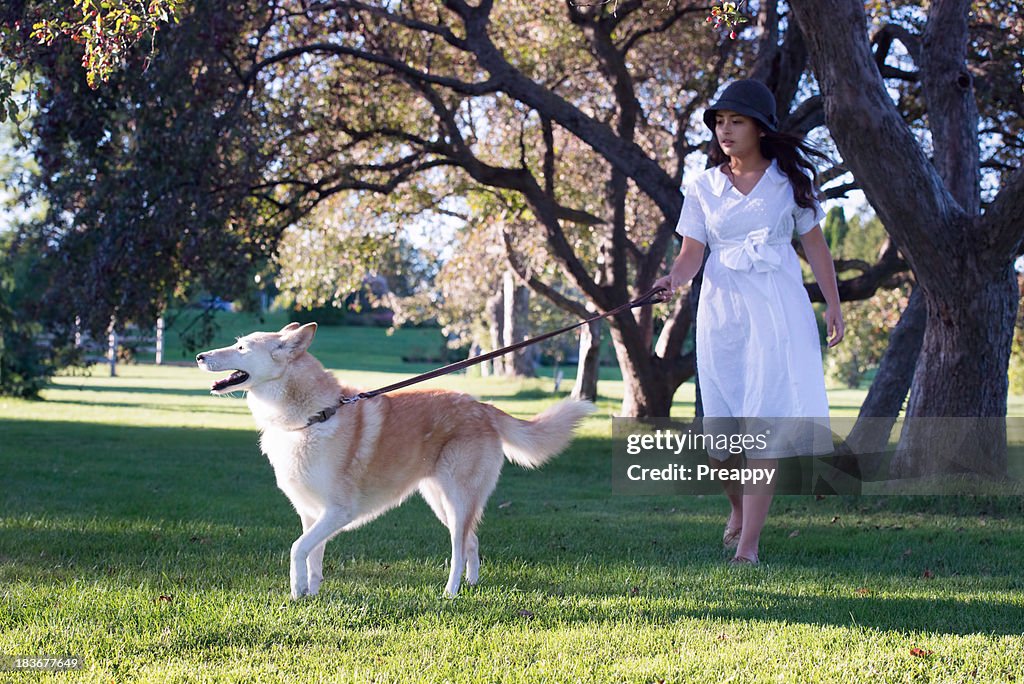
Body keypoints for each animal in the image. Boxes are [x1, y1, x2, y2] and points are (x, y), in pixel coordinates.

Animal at [196, 323, 598, 593]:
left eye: (241, 347)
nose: (200, 356)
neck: (313, 417)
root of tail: (482, 407)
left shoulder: (338, 511)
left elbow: (298, 548)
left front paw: (297, 592)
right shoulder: (312, 513)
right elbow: (313, 554)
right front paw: (312, 592)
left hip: (457, 499)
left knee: (458, 547)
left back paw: (451, 591)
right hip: (441, 501)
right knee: (472, 541)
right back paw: (470, 586)